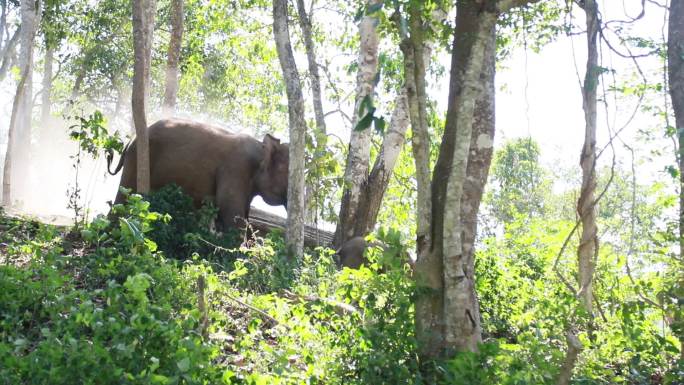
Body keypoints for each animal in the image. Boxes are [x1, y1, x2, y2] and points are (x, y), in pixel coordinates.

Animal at [107, 118, 288, 230]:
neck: (260, 147)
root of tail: (130, 141)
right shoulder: (236, 168)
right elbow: (230, 212)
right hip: (136, 160)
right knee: (124, 197)